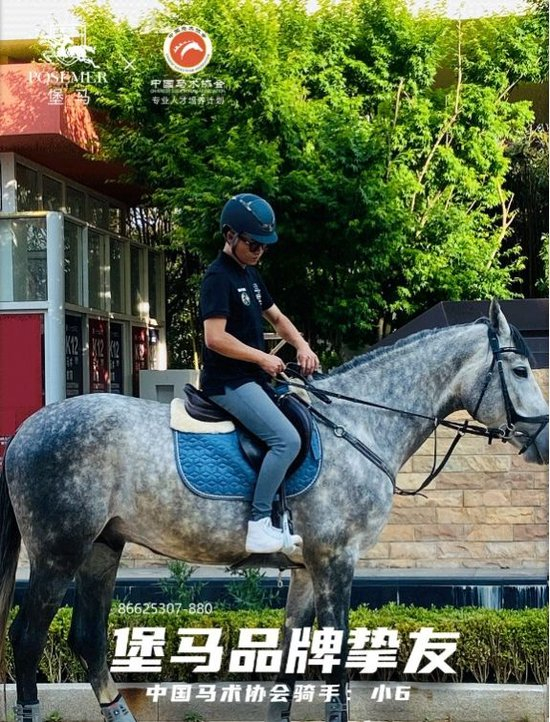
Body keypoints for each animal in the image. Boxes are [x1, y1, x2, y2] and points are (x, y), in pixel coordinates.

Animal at [0, 300, 547, 722]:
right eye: (521, 371)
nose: (543, 439)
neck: (358, 425)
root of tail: (26, 430)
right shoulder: (335, 562)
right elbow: (334, 656)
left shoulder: (306, 570)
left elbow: (289, 659)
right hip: (58, 552)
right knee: (26, 639)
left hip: (102, 547)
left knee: (88, 638)